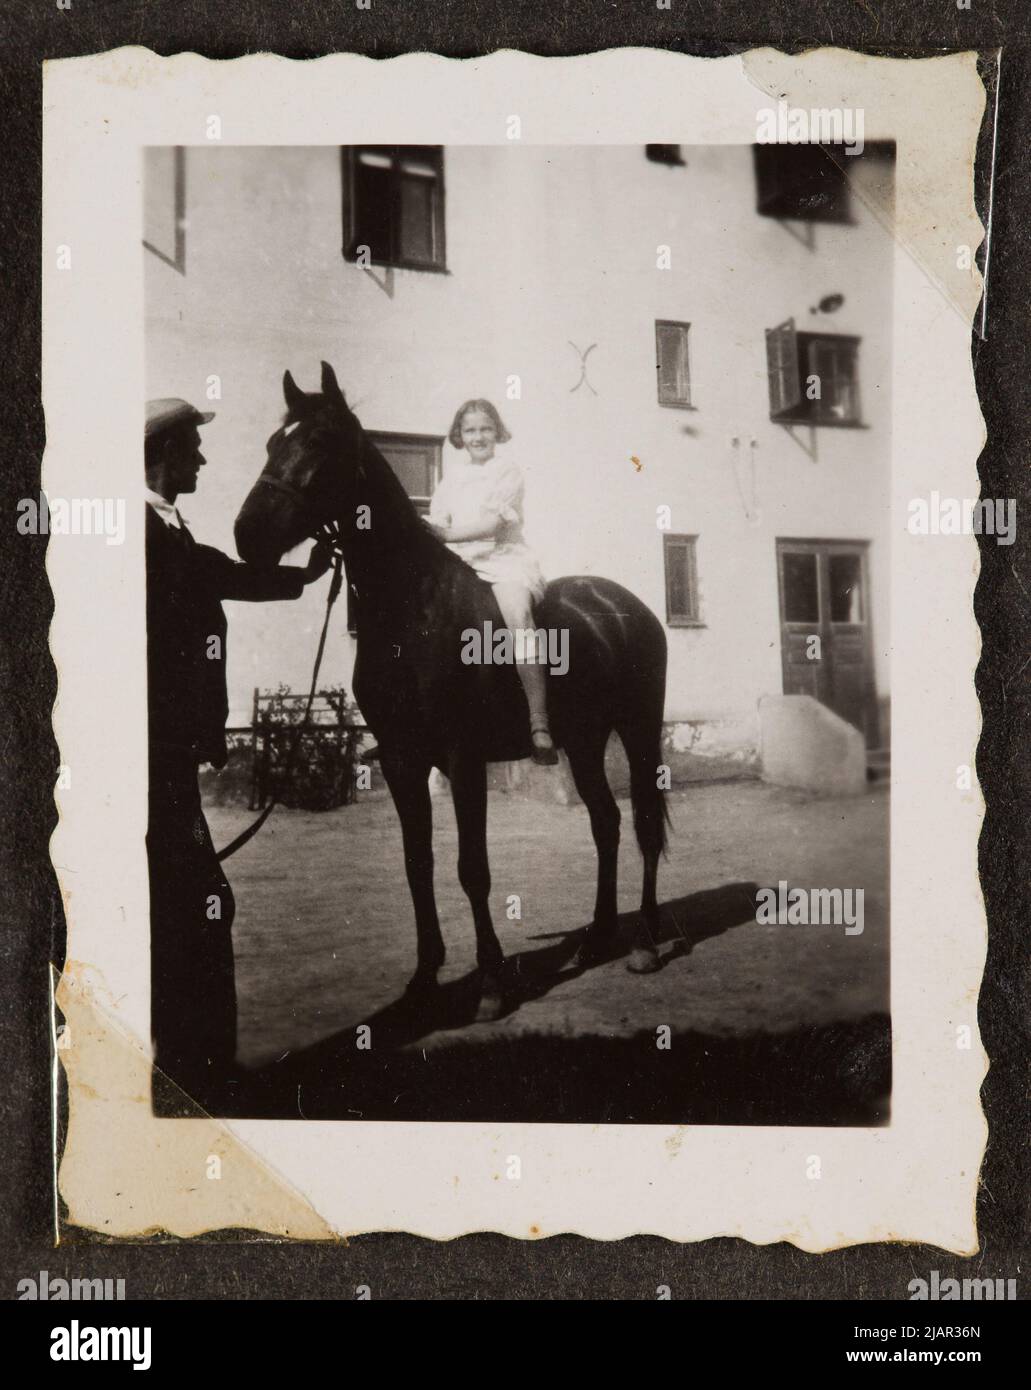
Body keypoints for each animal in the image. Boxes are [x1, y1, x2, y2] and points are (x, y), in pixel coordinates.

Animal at [234, 364, 675, 1017]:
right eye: (271, 443)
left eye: (318, 441)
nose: (247, 536)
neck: (413, 608)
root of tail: (624, 605)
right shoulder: (401, 760)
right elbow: (418, 864)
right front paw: (423, 980)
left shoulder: (463, 760)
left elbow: (473, 869)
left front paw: (490, 983)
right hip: (584, 742)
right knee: (606, 822)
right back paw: (596, 939)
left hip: (638, 731)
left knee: (642, 824)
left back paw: (643, 942)